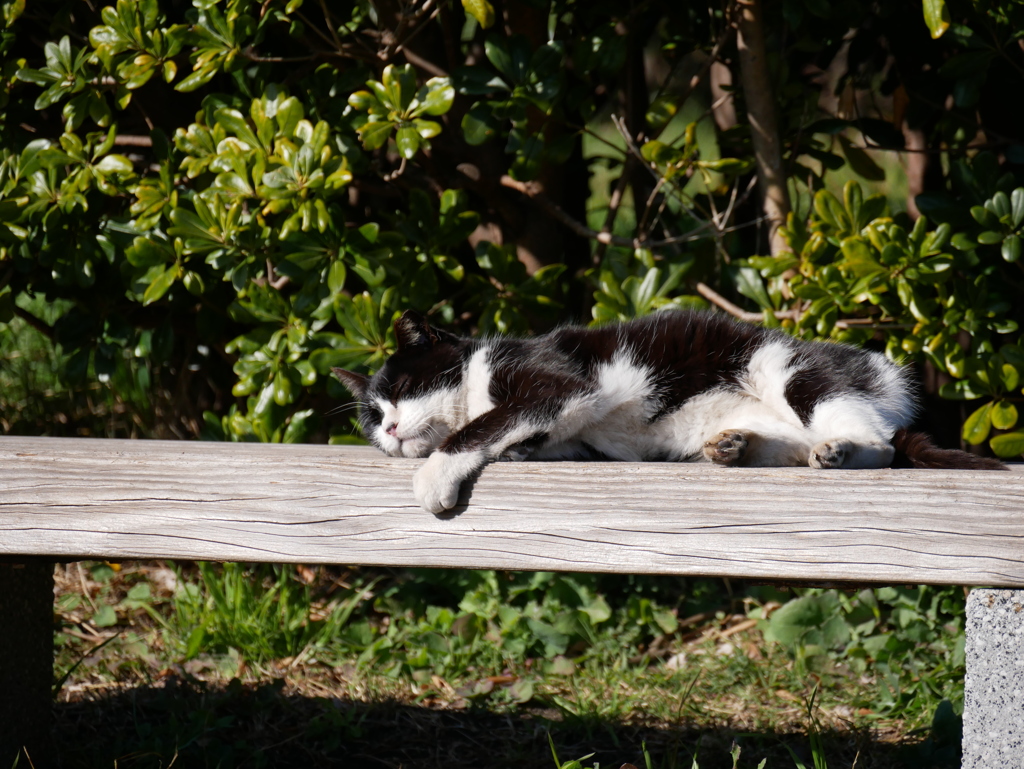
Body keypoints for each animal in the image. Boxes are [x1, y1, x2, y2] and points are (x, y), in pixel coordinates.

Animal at [331, 307, 1003, 511]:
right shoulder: (568, 429)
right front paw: (519, 450)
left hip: (791, 369)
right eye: (371, 416)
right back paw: (738, 449)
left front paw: (433, 477)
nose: (391, 428)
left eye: (404, 389)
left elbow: (480, 426)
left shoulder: (552, 383)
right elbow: (522, 434)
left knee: (880, 443)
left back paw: (841, 451)